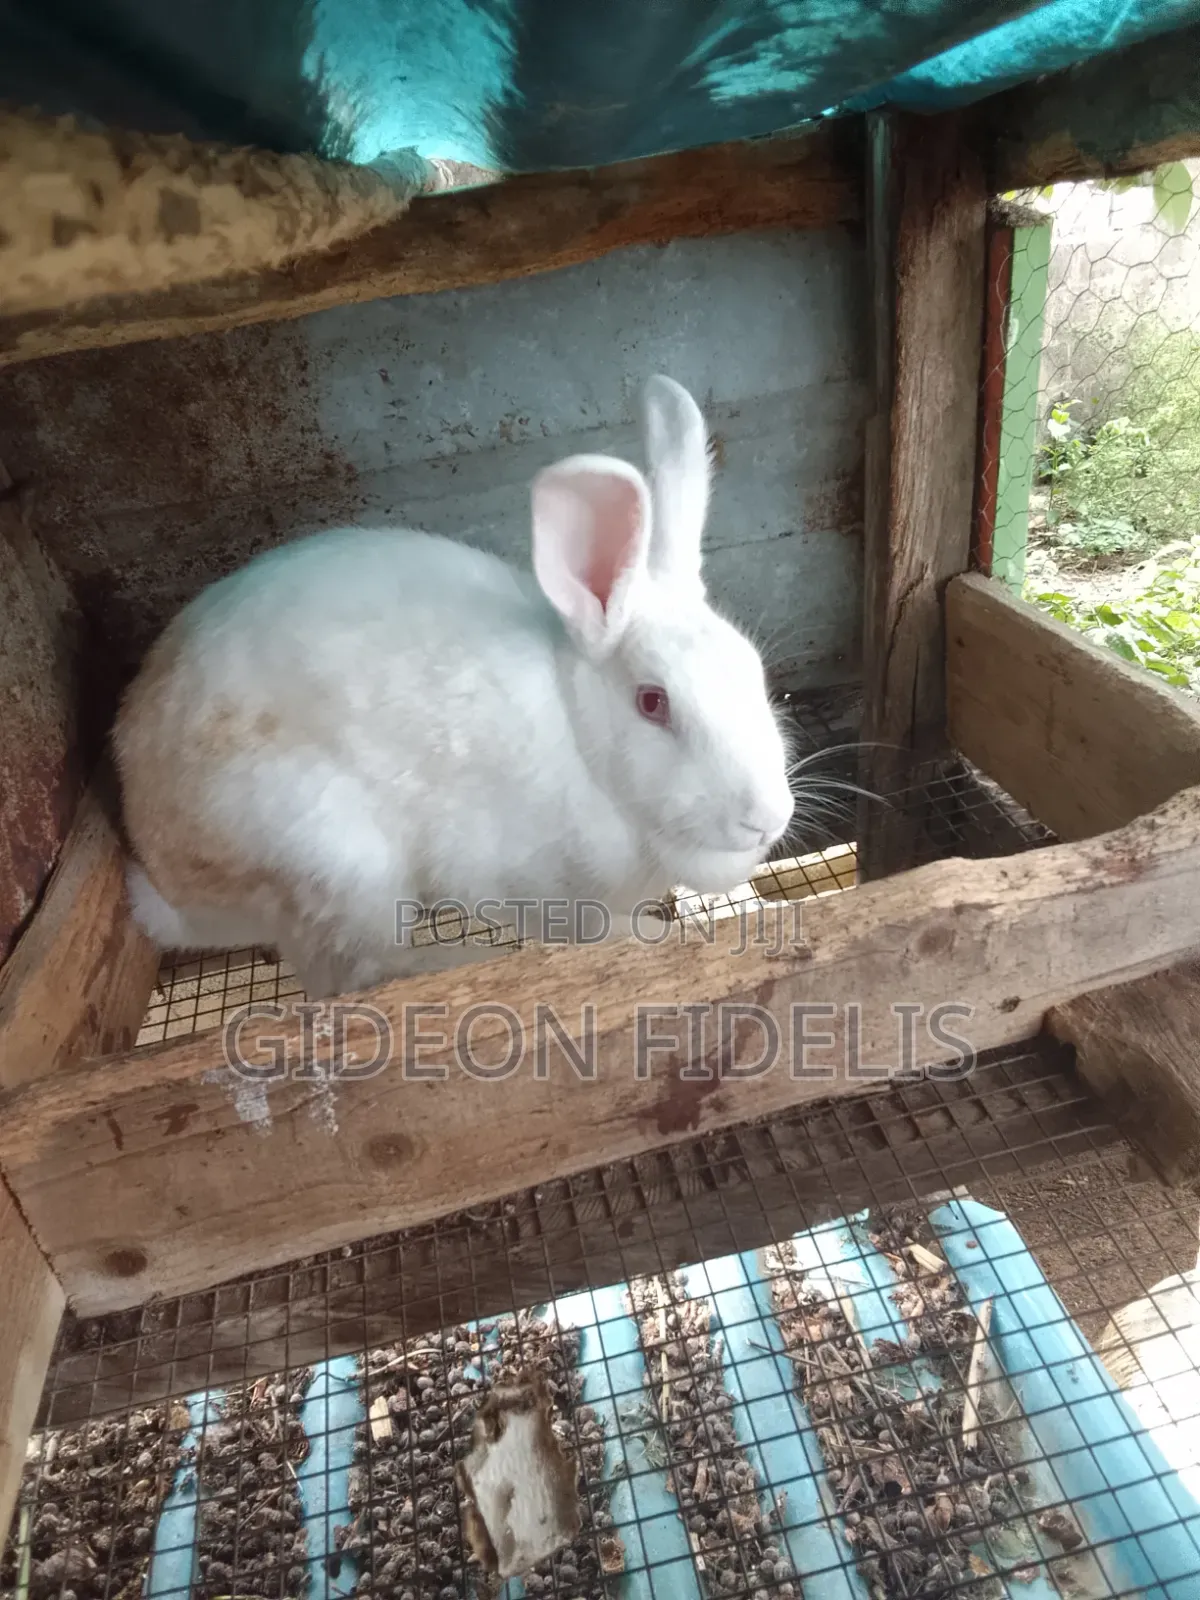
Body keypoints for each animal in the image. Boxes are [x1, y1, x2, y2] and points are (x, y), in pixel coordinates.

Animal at [114, 375, 796, 1000]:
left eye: (754, 670)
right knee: (350, 977)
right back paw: (461, 962)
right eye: (653, 703)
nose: (766, 819)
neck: (583, 742)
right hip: (331, 855)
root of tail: (165, 873)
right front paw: (658, 937)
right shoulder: (536, 890)